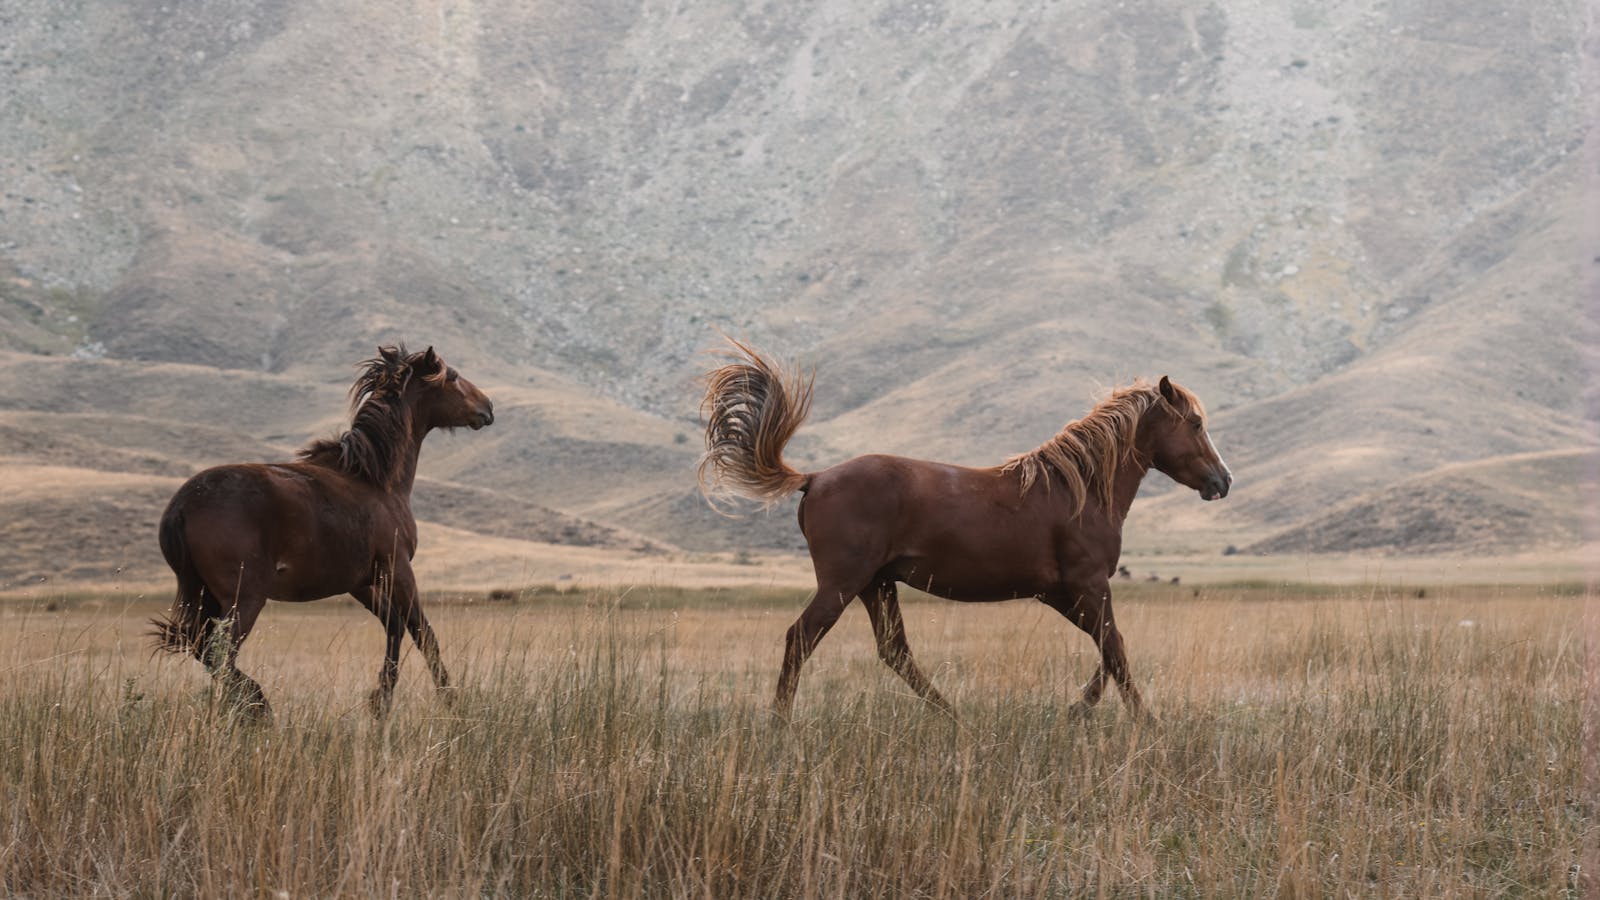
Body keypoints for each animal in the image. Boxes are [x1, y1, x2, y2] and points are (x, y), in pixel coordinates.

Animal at [156, 342, 496, 714]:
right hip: (244, 598)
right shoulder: (398, 569)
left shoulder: (361, 582)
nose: (487, 407)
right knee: (219, 654)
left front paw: (380, 701)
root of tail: (181, 506)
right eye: (453, 376)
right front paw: (451, 700)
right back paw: (259, 708)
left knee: (203, 650)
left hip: (207, 596)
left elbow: (394, 626)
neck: (375, 480)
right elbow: (423, 634)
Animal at [694, 339, 1228, 717]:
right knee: (801, 639)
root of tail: (815, 478)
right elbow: (1115, 649)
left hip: (876, 584)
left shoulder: (1061, 592)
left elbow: (1108, 649)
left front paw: (1079, 709)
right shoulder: (1087, 584)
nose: (1223, 481)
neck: (1077, 490)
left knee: (895, 652)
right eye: (1196, 423)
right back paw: (780, 724)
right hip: (843, 584)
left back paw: (954, 717)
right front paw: (1145, 723)